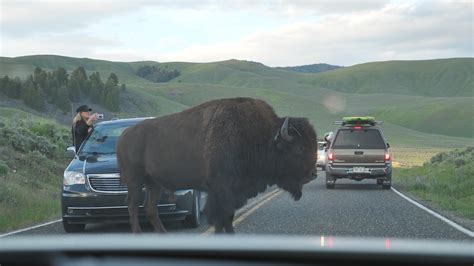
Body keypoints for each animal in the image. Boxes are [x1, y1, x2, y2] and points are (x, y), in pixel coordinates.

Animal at [117, 97, 318, 233]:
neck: (261, 136)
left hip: (154, 184)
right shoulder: (221, 190)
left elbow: (227, 217)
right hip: (135, 180)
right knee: (133, 205)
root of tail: (125, 134)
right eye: (299, 148)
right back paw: (138, 233)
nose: (313, 174)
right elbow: (222, 217)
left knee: (150, 208)